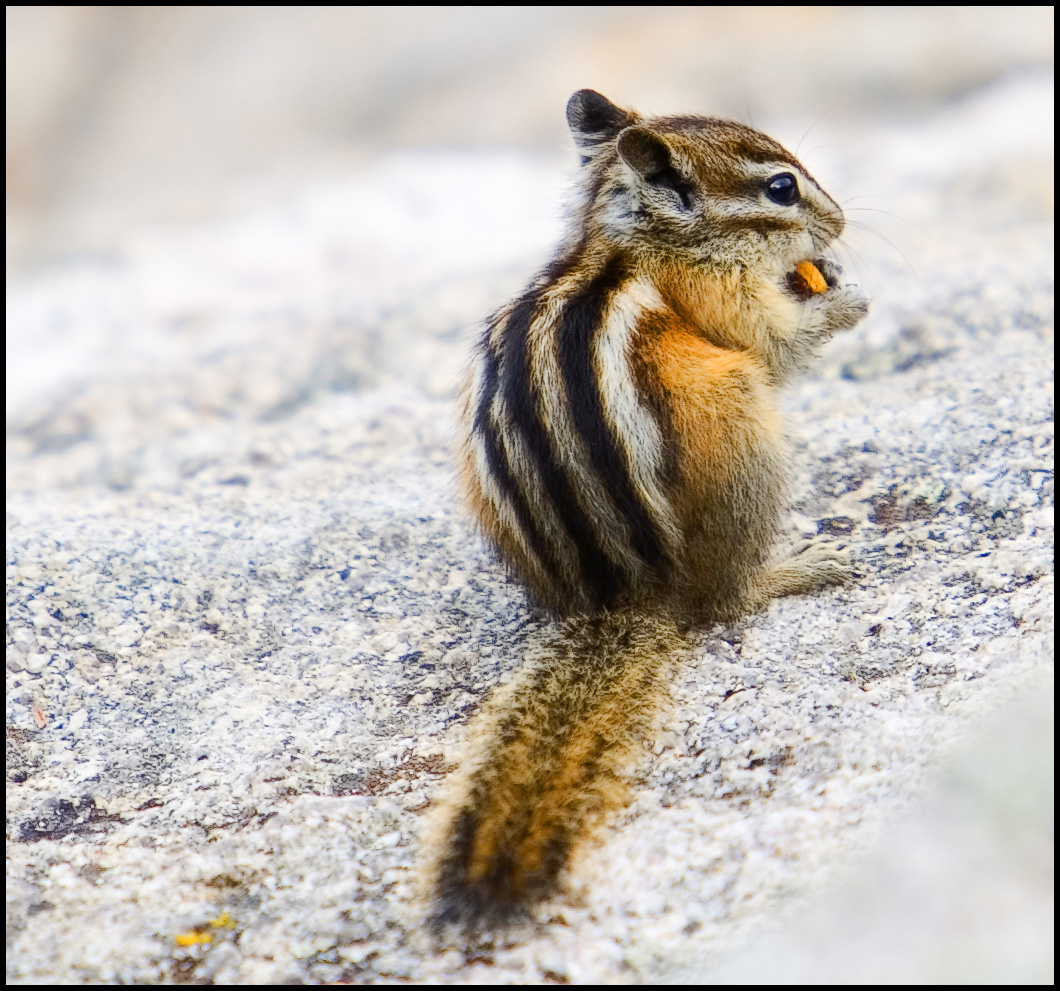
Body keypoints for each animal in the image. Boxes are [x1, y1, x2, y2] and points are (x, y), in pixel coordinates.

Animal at [425, 90, 869, 929]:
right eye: (781, 189)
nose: (839, 224)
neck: (628, 240)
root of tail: (625, 595)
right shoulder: (723, 301)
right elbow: (776, 345)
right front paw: (843, 296)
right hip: (740, 425)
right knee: (724, 599)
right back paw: (800, 564)